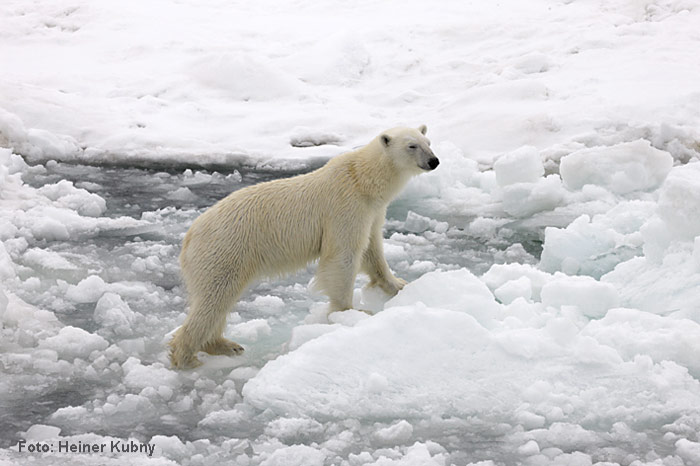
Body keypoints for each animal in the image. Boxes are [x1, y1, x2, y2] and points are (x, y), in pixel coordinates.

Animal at [169, 125, 438, 370]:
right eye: (412, 145)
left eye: (428, 142)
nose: (433, 161)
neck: (362, 180)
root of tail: (189, 237)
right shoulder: (345, 207)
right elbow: (343, 256)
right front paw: (350, 312)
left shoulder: (372, 211)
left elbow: (372, 250)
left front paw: (398, 284)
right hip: (224, 250)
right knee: (213, 299)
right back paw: (187, 357)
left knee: (219, 302)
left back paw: (226, 345)